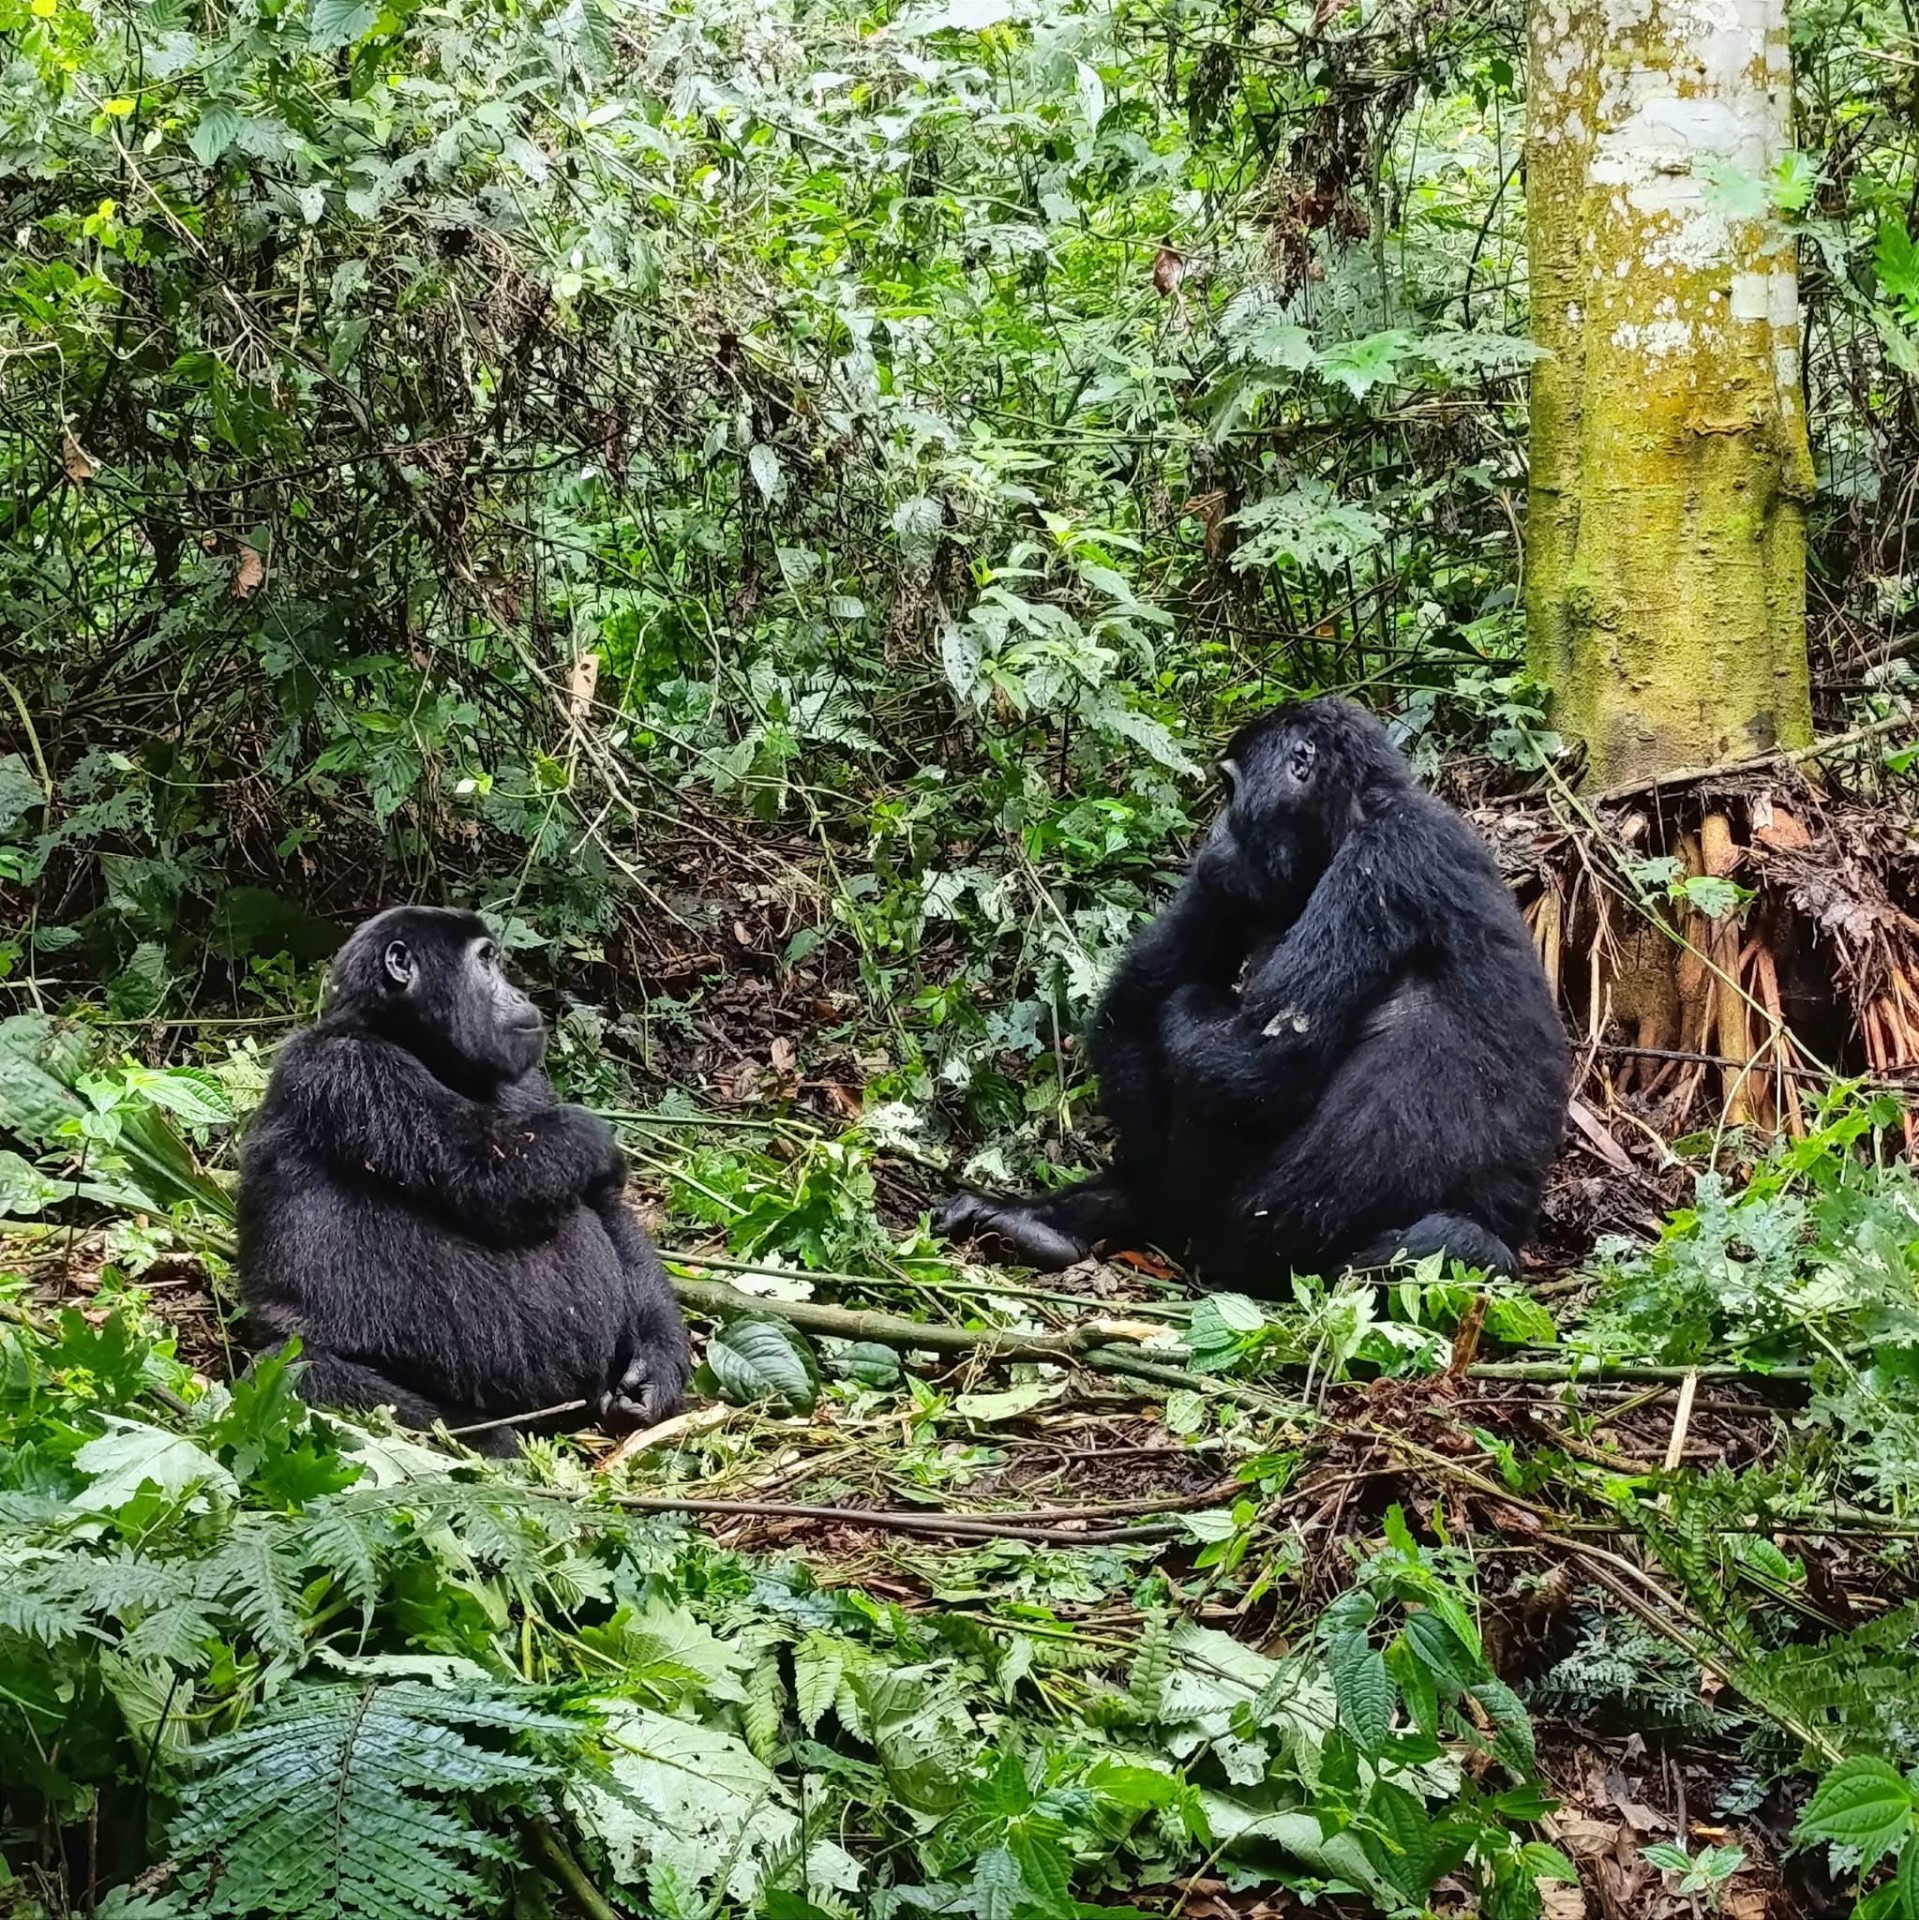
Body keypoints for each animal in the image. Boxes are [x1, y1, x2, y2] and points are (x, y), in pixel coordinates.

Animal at [236, 906, 691, 1443]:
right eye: (486, 961)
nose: (521, 995)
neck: (407, 1038)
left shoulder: (530, 1081)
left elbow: (608, 1211)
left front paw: (657, 1362)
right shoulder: (345, 1065)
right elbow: (489, 1170)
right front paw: (588, 1134)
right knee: (298, 1368)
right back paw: (487, 1439)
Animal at [937, 695, 1567, 1290]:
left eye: (1229, 789)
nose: (1209, 835)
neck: (1351, 814)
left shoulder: (1388, 856)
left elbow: (1251, 1065)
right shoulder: (1237, 885)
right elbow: (1135, 1002)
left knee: (1452, 1242)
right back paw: (1055, 1219)